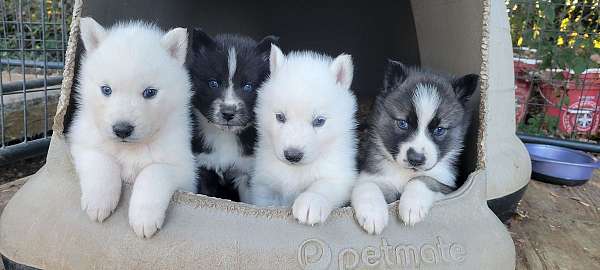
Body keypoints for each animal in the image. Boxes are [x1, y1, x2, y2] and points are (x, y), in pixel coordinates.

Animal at [68, 16, 195, 237]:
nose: (122, 129)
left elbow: (153, 172)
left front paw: (144, 217)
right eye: (106, 89)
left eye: (150, 92)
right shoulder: (83, 142)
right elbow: (101, 161)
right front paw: (99, 201)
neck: (129, 149)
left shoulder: (184, 167)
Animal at [186, 29, 278, 200]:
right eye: (213, 83)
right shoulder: (203, 166)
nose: (228, 113)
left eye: (248, 86)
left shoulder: (247, 171)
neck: (224, 136)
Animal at [251, 44, 358, 226]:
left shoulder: (340, 173)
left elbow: (323, 185)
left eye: (319, 121)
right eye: (280, 117)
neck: (295, 171)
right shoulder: (263, 183)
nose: (292, 155)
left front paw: (311, 203)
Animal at [352, 60, 478, 234]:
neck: (406, 172)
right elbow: (367, 184)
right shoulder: (370, 174)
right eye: (402, 123)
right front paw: (372, 213)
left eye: (439, 130)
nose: (416, 159)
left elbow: (425, 179)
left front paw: (412, 206)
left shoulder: (449, 187)